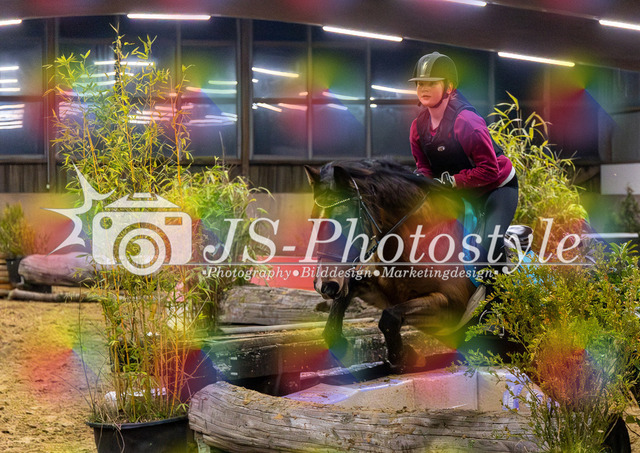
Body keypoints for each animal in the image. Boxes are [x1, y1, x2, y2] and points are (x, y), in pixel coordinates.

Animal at [304, 158, 489, 368]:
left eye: (345, 221)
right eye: (313, 221)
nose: (325, 286)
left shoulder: (453, 306)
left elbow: (389, 318)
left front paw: (405, 356)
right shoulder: (383, 294)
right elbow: (348, 295)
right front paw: (341, 345)